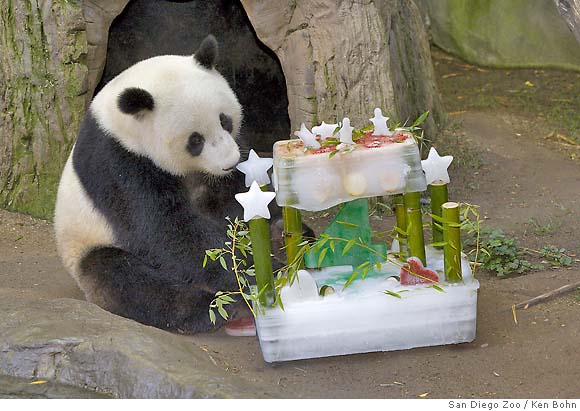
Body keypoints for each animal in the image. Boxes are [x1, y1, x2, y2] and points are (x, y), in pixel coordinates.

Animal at [55, 36, 251, 334]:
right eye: (195, 140)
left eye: (224, 120)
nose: (229, 163)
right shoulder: (118, 162)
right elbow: (164, 230)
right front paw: (245, 275)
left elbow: (229, 199)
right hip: (85, 244)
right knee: (124, 278)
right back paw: (208, 309)